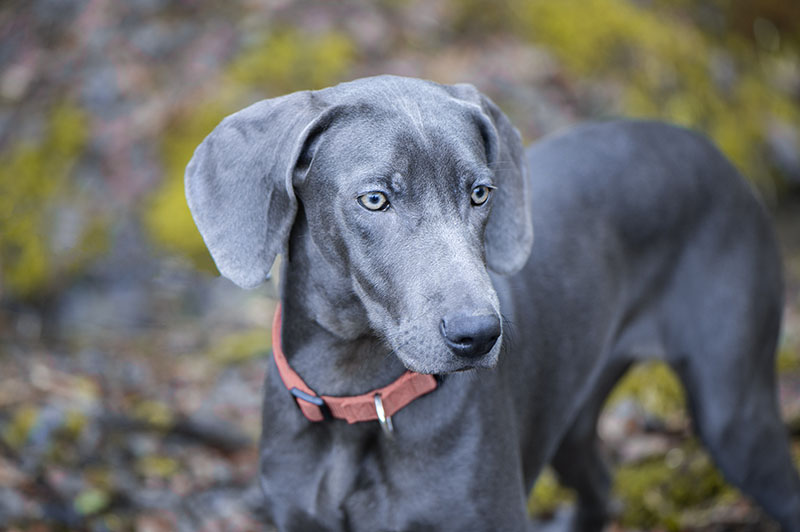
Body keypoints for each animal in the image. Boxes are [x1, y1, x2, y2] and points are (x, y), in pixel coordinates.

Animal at [186, 76, 800, 532]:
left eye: (480, 193)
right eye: (375, 199)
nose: (478, 334)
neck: (357, 391)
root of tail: (716, 153)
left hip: (734, 414)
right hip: (573, 415)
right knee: (599, 487)